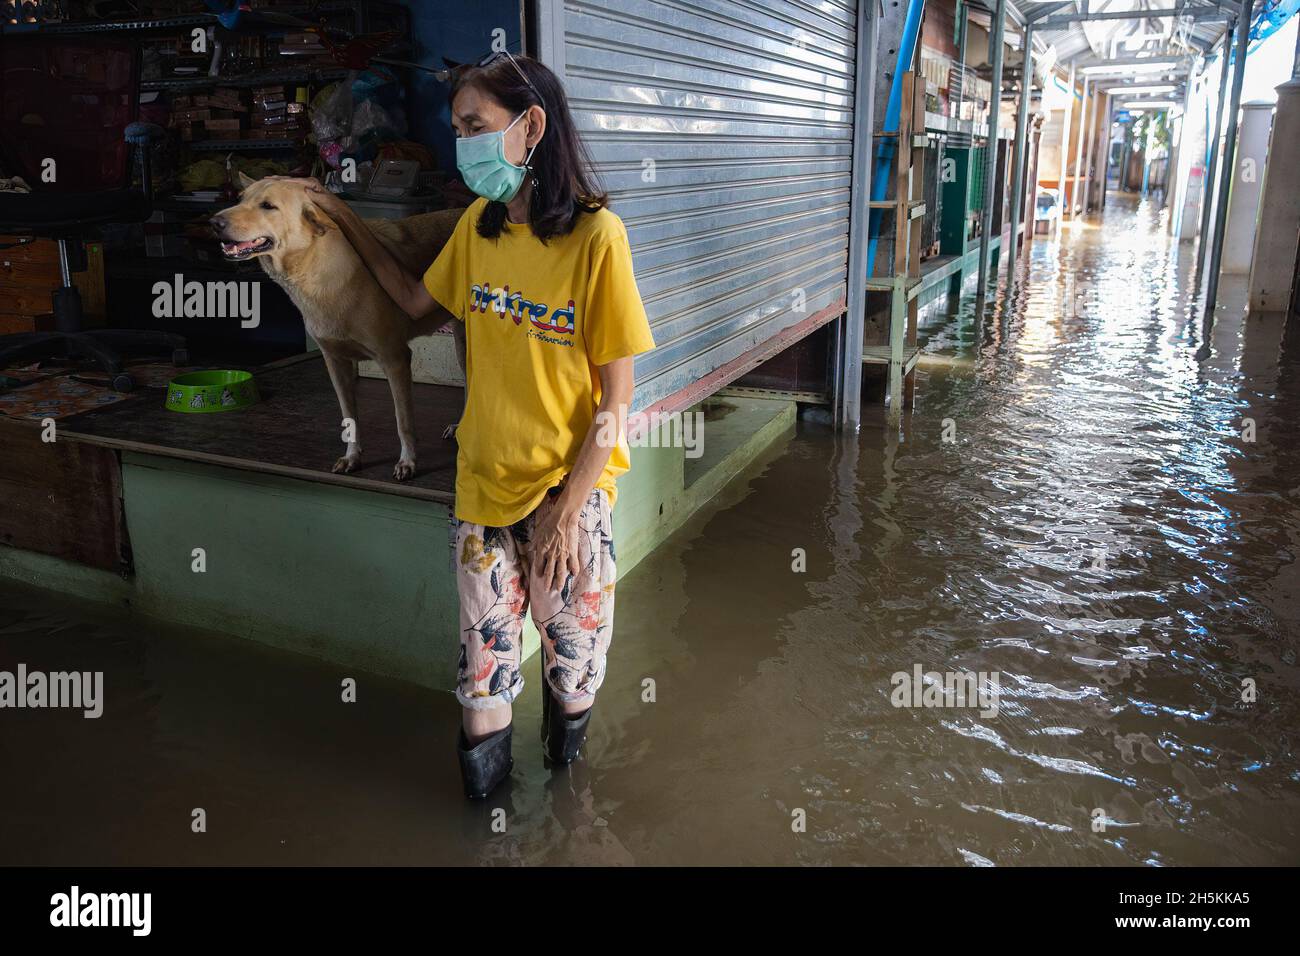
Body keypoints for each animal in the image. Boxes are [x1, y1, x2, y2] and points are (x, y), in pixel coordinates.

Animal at [218, 174, 467, 478]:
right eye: (240, 199)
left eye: (268, 206)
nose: (214, 222)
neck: (314, 272)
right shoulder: (335, 363)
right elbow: (349, 417)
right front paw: (352, 457)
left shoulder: (395, 359)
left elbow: (403, 421)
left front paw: (408, 461)